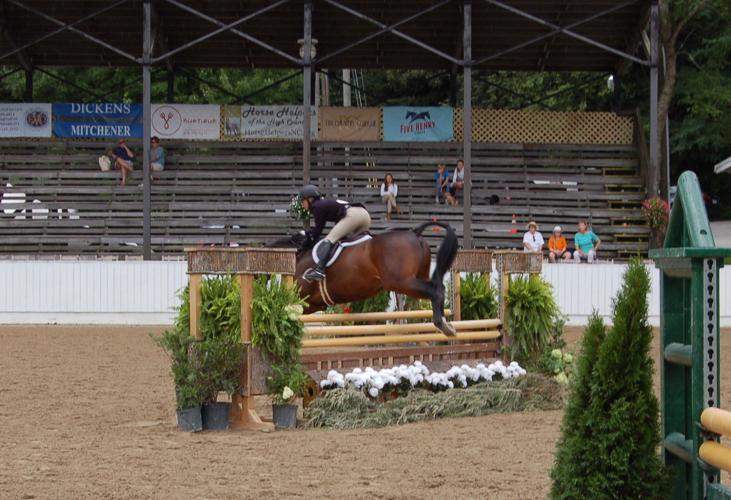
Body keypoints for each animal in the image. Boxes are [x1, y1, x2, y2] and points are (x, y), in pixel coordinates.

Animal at [272, 222, 460, 336]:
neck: (296, 256)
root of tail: (415, 233)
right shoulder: (314, 304)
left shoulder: (303, 299)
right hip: (415, 278)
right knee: (437, 287)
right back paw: (447, 324)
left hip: (401, 282)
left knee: (435, 290)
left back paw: (441, 324)